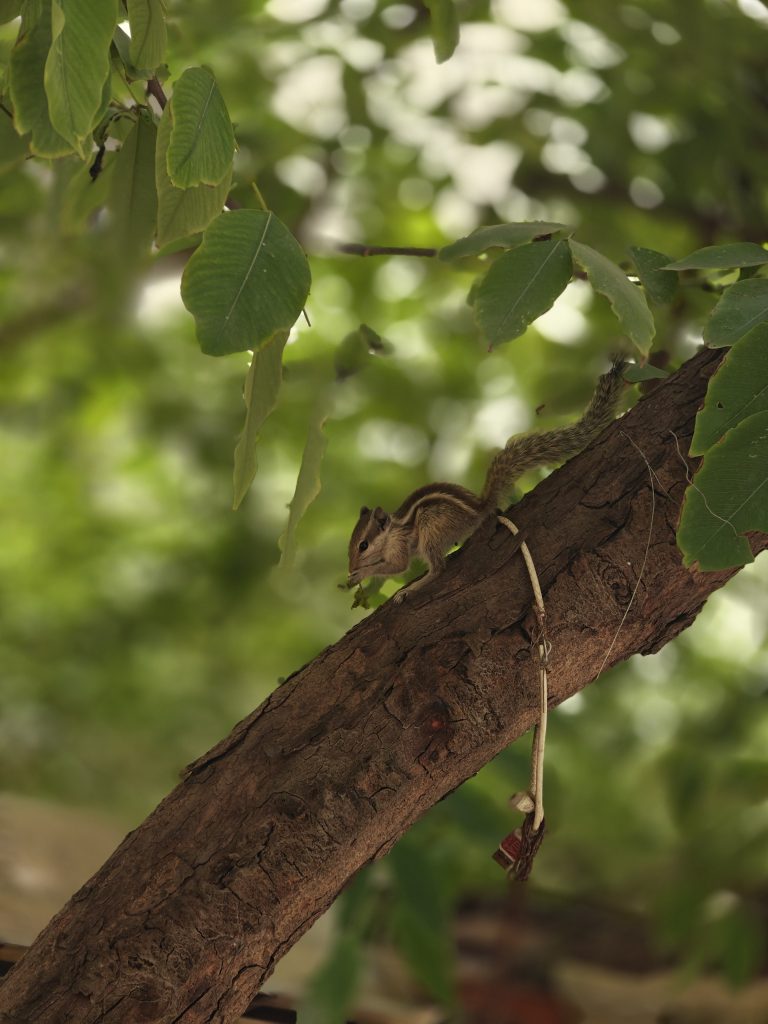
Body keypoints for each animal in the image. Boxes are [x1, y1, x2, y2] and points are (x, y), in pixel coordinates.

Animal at [347, 359, 627, 603]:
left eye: (363, 545)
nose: (350, 567)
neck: (390, 532)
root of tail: (478, 509)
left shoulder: (399, 546)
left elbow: (397, 566)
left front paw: (361, 573)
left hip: (431, 526)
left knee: (438, 569)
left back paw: (411, 589)